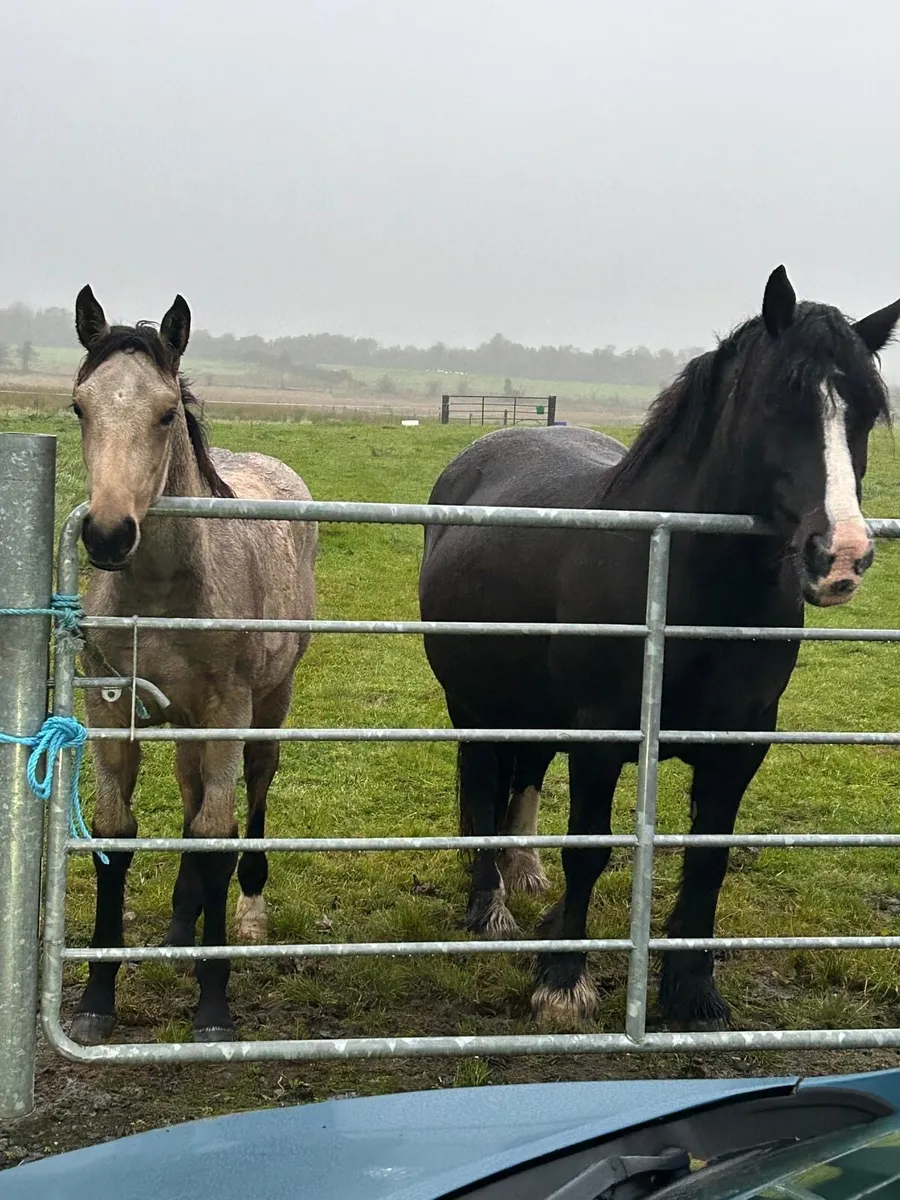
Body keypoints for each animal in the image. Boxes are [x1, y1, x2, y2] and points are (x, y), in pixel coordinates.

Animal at [68, 287, 317, 1044]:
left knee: (252, 794)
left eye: (164, 412)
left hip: (267, 704)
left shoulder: (228, 710)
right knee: (188, 791)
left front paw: (213, 1006)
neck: (164, 590)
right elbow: (116, 834)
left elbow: (216, 835)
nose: (107, 535)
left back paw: (249, 913)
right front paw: (96, 1001)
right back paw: (182, 923)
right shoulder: (111, 705)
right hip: (182, 718)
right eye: (80, 406)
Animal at [418, 266, 900, 1030]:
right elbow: (588, 850)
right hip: (474, 703)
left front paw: (693, 990)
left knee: (525, 775)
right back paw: (488, 904)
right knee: (485, 784)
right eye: (778, 400)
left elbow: (708, 860)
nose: (842, 557)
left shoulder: (740, 742)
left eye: (866, 410)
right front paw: (562, 981)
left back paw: (524, 876)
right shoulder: (601, 735)